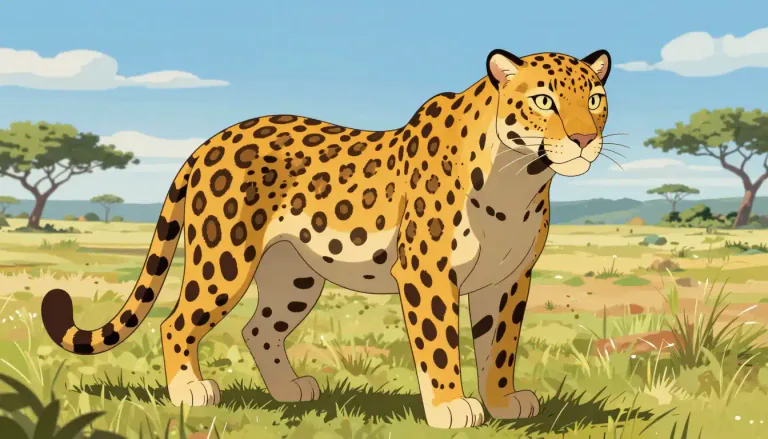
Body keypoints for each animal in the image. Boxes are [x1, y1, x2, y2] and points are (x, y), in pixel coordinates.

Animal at [41, 47, 611, 429]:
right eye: (544, 100)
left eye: (595, 98)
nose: (586, 139)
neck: (518, 178)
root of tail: (209, 141)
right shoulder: (427, 272)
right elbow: (439, 345)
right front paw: (451, 407)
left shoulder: (509, 279)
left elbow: (500, 346)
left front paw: (502, 403)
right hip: (224, 259)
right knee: (176, 322)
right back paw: (190, 391)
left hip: (293, 275)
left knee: (259, 329)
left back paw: (289, 390)